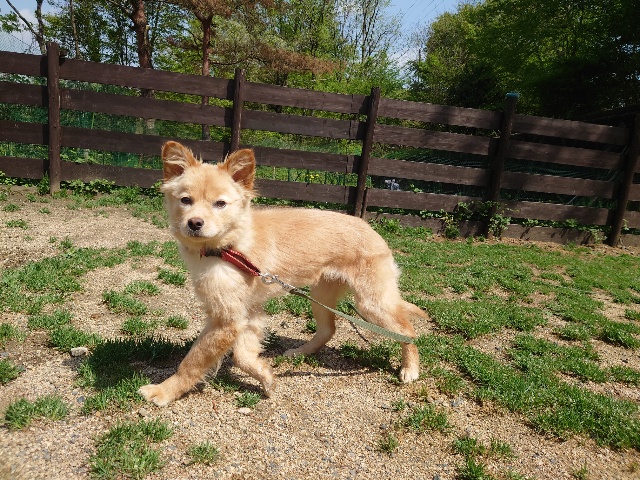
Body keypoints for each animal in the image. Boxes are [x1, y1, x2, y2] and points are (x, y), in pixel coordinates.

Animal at [138, 141, 425, 406]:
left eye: (220, 204)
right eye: (186, 200)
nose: (195, 223)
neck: (229, 247)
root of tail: (372, 229)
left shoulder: (225, 319)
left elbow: (193, 361)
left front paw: (163, 392)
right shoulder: (245, 313)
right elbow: (242, 355)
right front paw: (264, 376)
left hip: (371, 304)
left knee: (408, 331)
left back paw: (410, 369)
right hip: (320, 296)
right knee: (328, 329)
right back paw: (300, 352)